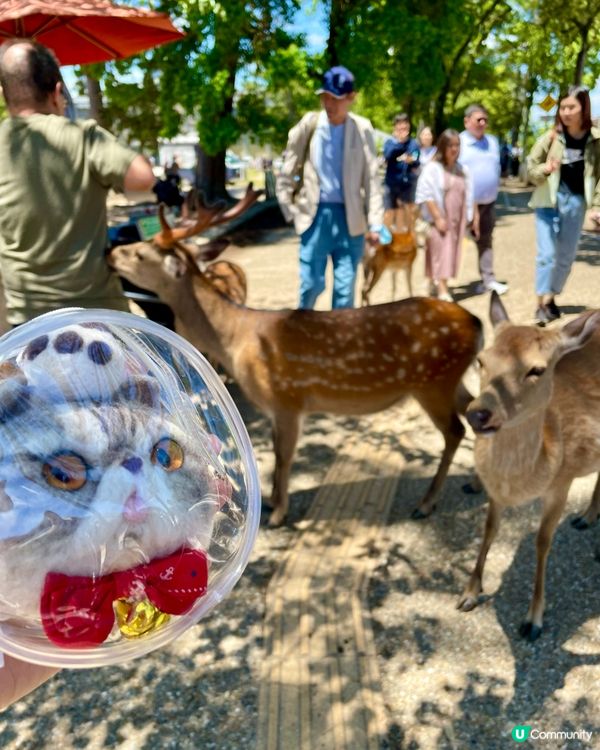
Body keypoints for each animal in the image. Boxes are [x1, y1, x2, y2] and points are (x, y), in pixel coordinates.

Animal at [108, 186, 483, 526]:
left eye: (140, 254)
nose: (111, 253)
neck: (235, 339)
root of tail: (476, 323)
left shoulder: (287, 399)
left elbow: (283, 455)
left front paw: (278, 513)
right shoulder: (277, 408)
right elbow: (277, 452)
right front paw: (274, 502)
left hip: (433, 382)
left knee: (455, 429)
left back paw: (427, 502)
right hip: (451, 380)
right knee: (478, 410)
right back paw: (475, 484)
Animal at [458, 291, 600, 641]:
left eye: (537, 369)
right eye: (482, 359)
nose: (478, 414)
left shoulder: (561, 484)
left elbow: (542, 542)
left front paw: (533, 620)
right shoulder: (495, 492)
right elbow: (489, 529)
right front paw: (468, 594)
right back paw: (585, 518)